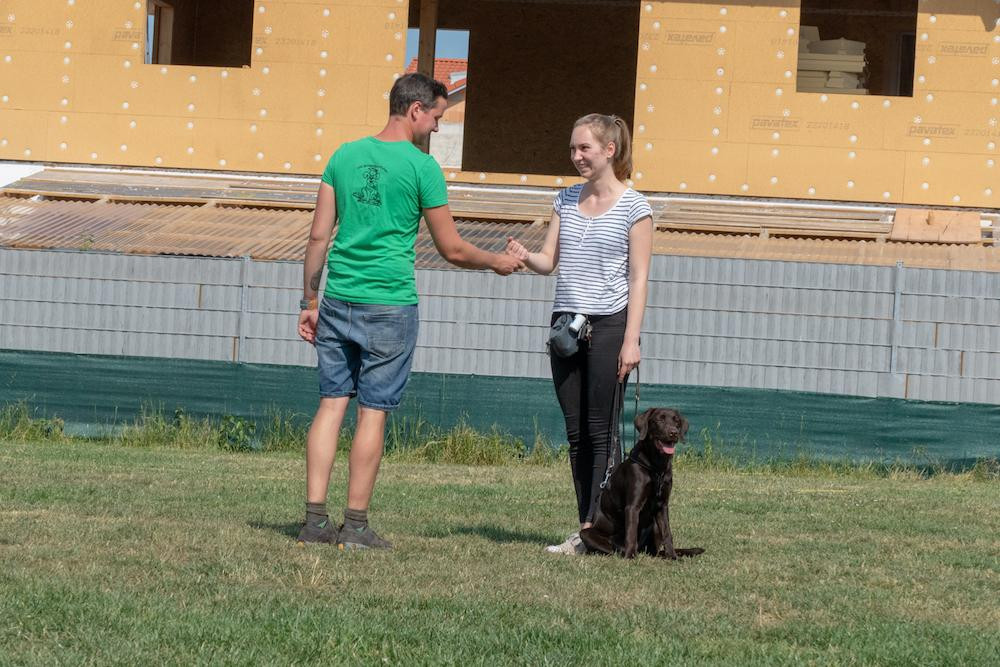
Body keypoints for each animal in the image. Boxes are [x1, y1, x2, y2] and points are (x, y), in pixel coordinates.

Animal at [580, 408, 705, 560]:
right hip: (586, 533)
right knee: (612, 547)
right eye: (660, 419)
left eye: (677, 421)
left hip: (654, 526)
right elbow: (631, 533)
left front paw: (673, 556)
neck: (657, 467)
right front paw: (629, 557)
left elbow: (667, 533)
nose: (673, 432)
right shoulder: (633, 506)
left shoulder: (662, 506)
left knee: (654, 550)